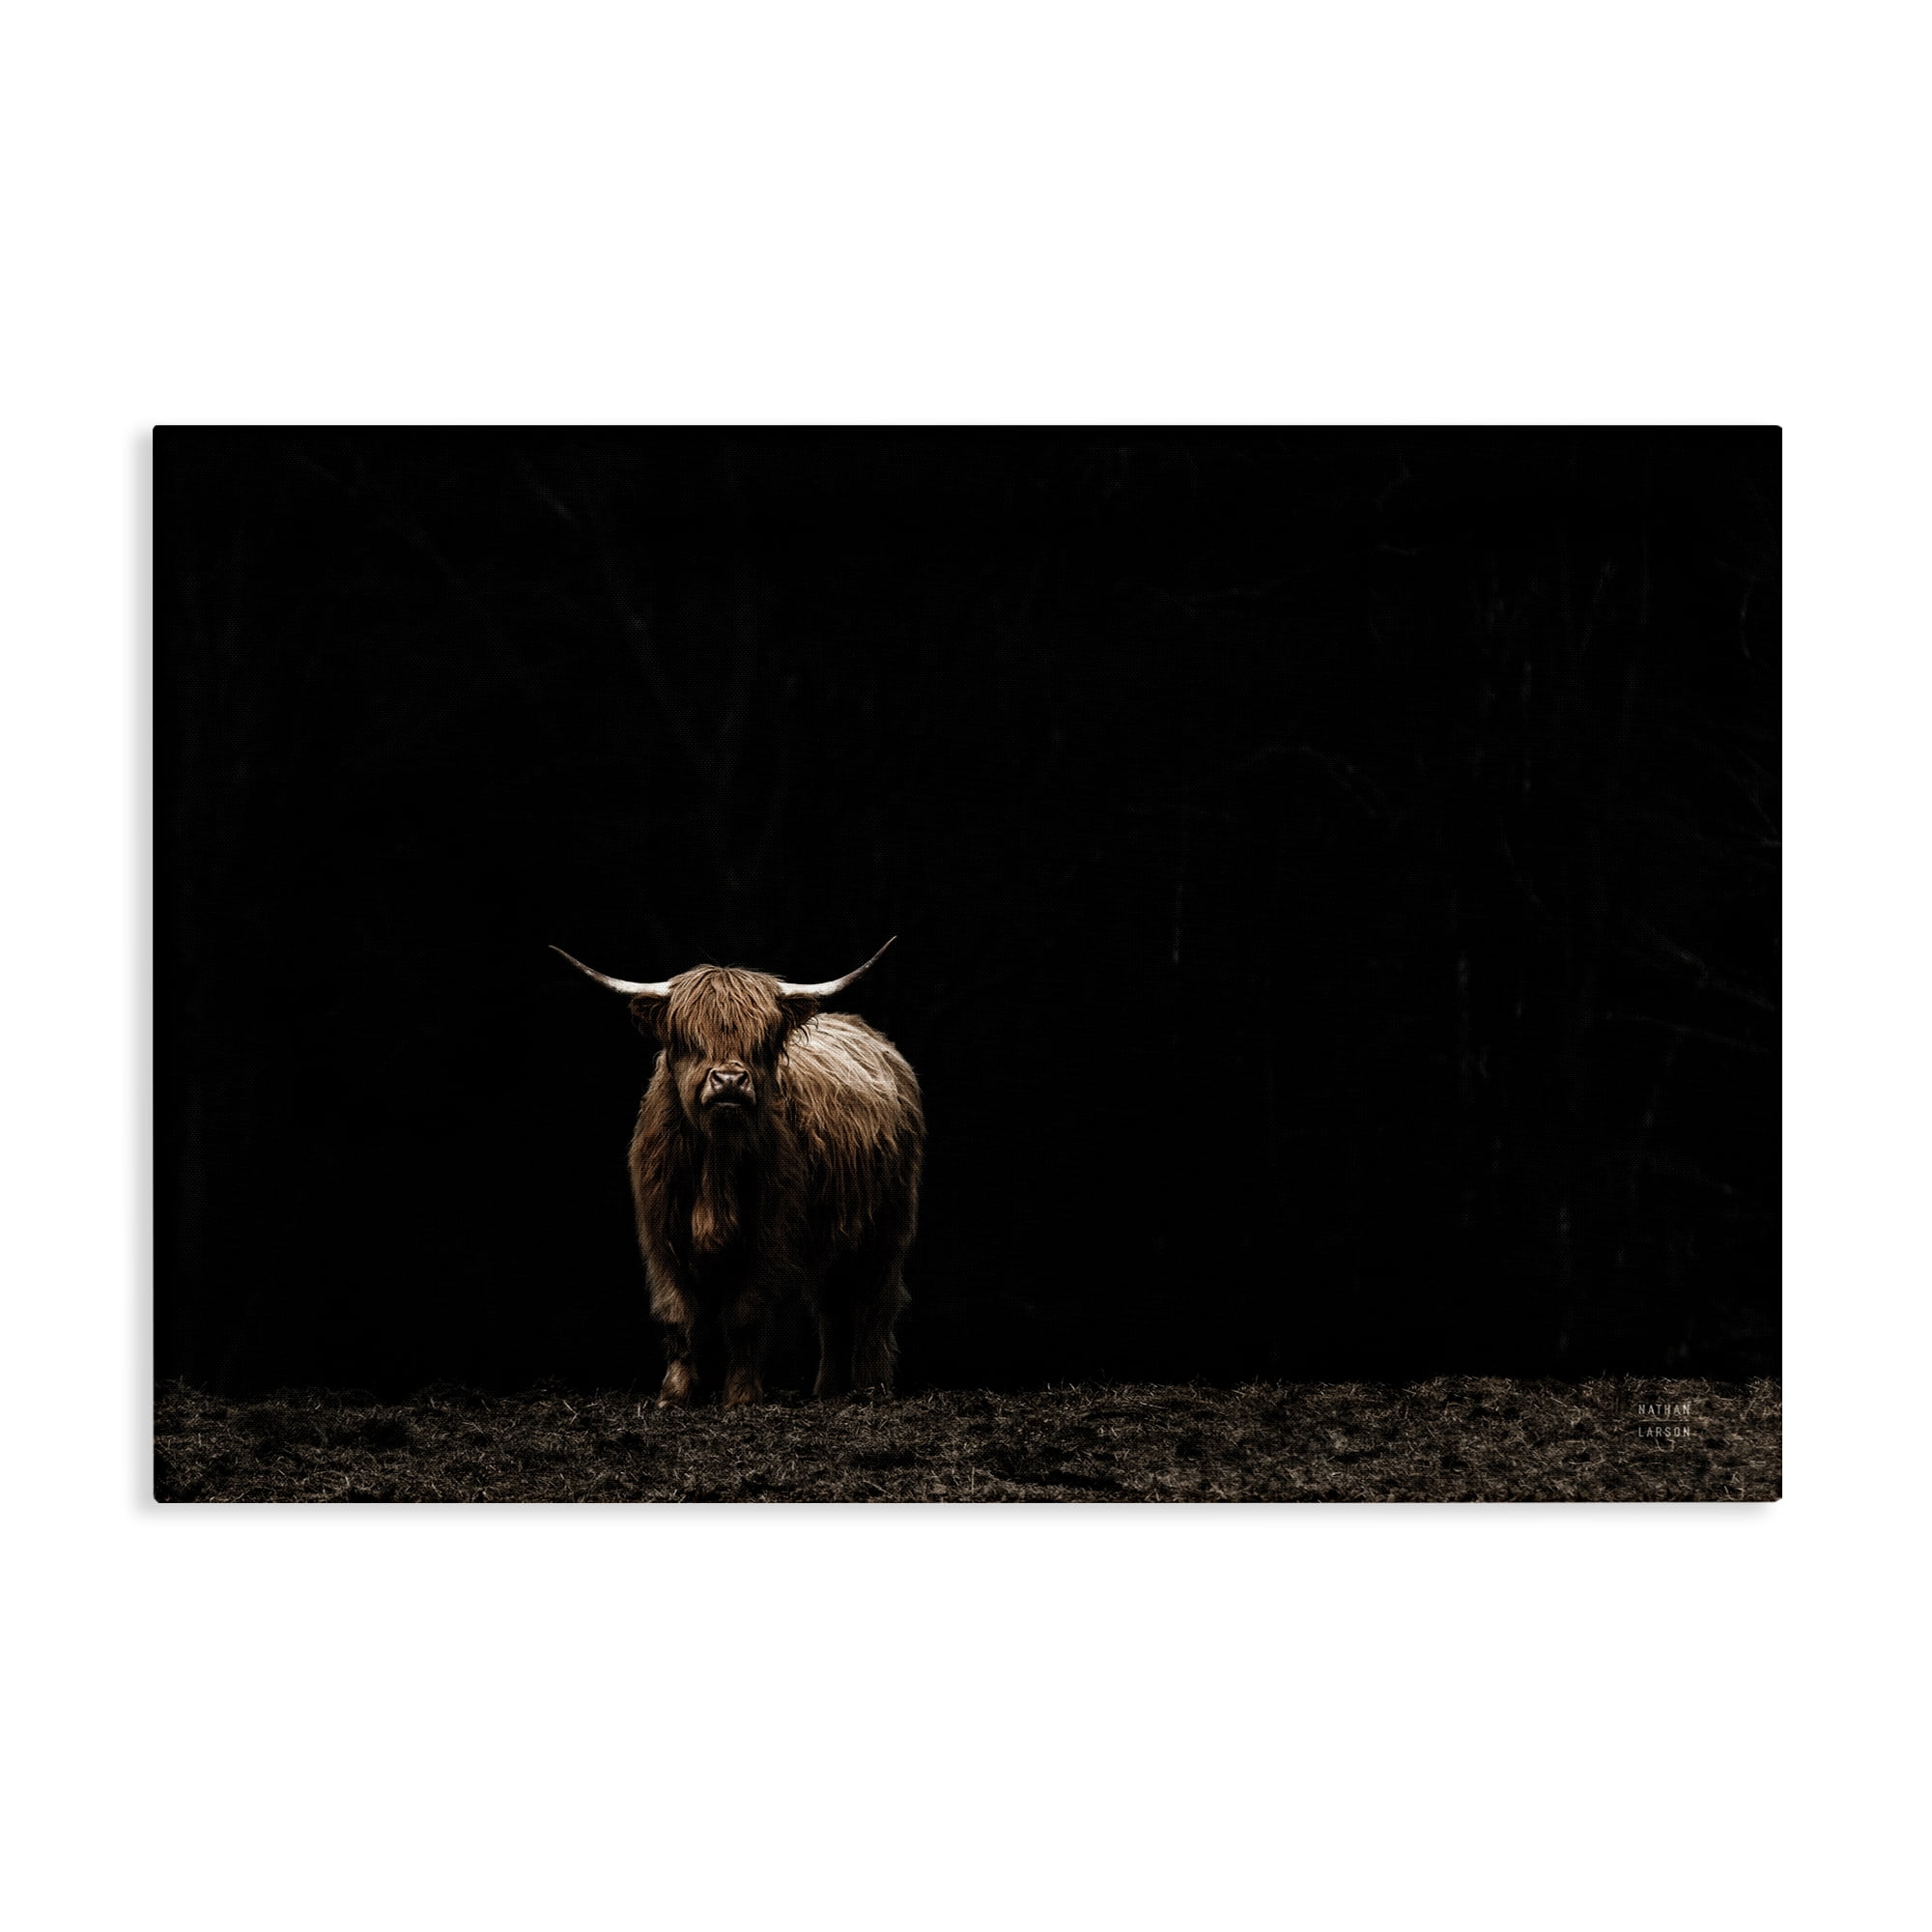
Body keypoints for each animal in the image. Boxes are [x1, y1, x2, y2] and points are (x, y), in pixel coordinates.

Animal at [552, 938, 923, 1407]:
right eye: (688, 1038)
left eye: (762, 1040)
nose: (729, 1081)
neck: (717, 1161)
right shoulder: (660, 1232)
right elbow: (677, 1314)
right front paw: (674, 1394)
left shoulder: (769, 1236)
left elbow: (745, 1316)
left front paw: (741, 1396)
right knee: (831, 1308)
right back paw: (827, 1390)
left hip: (888, 1225)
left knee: (876, 1303)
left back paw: (873, 1386)